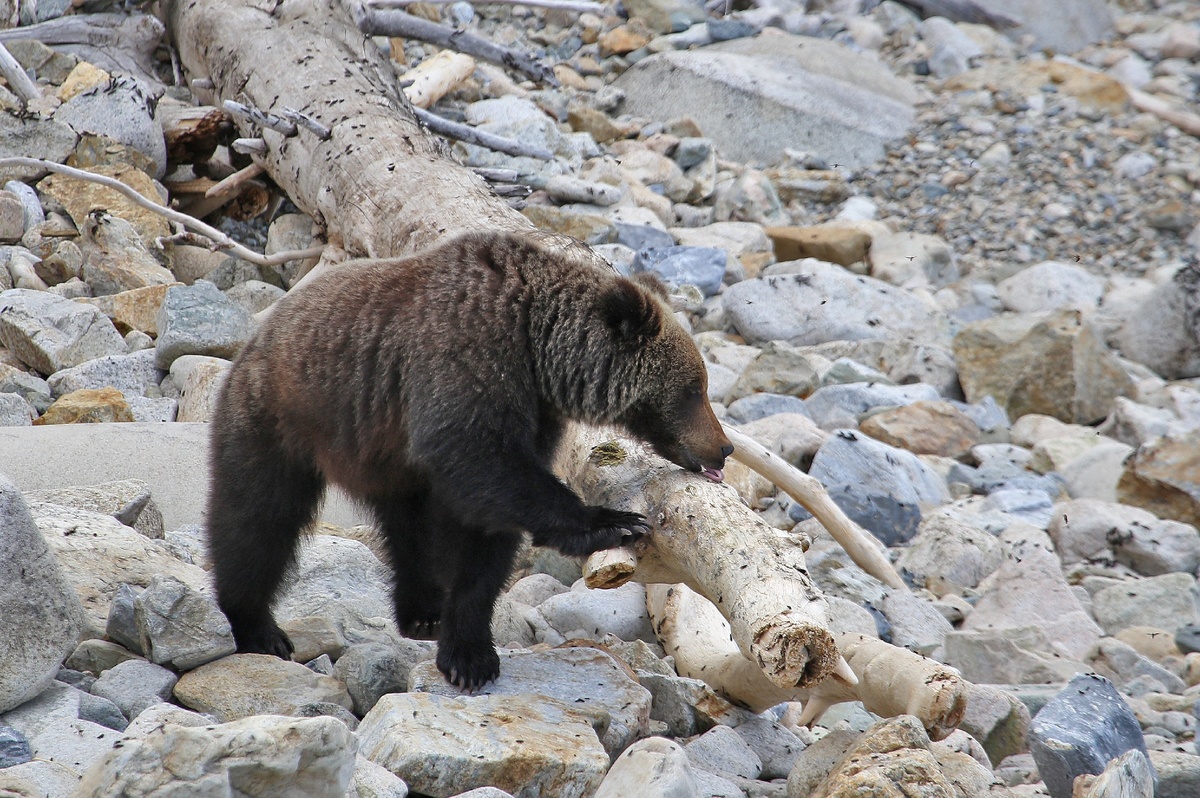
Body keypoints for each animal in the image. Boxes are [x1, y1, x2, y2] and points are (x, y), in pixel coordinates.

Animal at [206, 229, 729, 686]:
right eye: (693, 388)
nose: (724, 447)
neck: (536, 351)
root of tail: (258, 336)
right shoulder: (463, 364)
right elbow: (492, 473)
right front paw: (614, 522)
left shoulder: (532, 413)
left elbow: (485, 539)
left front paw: (468, 651)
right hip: (280, 419)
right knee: (256, 521)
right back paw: (257, 627)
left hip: (387, 462)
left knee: (409, 533)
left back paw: (422, 611)